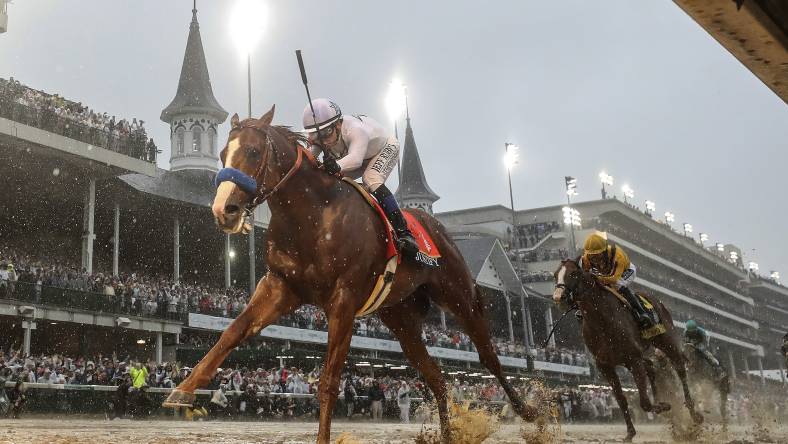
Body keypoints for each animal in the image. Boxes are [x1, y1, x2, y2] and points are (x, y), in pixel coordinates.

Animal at [162, 108, 540, 444]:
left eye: (254, 151)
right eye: (223, 153)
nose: (223, 210)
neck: (312, 215)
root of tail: (436, 228)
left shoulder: (342, 300)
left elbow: (329, 380)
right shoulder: (280, 286)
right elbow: (233, 332)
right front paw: (183, 389)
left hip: (458, 295)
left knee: (488, 356)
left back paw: (530, 412)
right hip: (401, 319)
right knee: (437, 378)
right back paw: (449, 435)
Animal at [552, 258, 704, 442]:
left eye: (573, 273)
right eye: (555, 274)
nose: (558, 297)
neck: (601, 320)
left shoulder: (633, 359)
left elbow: (644, 402)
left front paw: (663, 407)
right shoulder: (605, 365)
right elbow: (621, 399)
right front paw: (630, 433)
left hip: (666, 342)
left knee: (680, 369)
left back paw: (694, 414)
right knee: (651, 367)